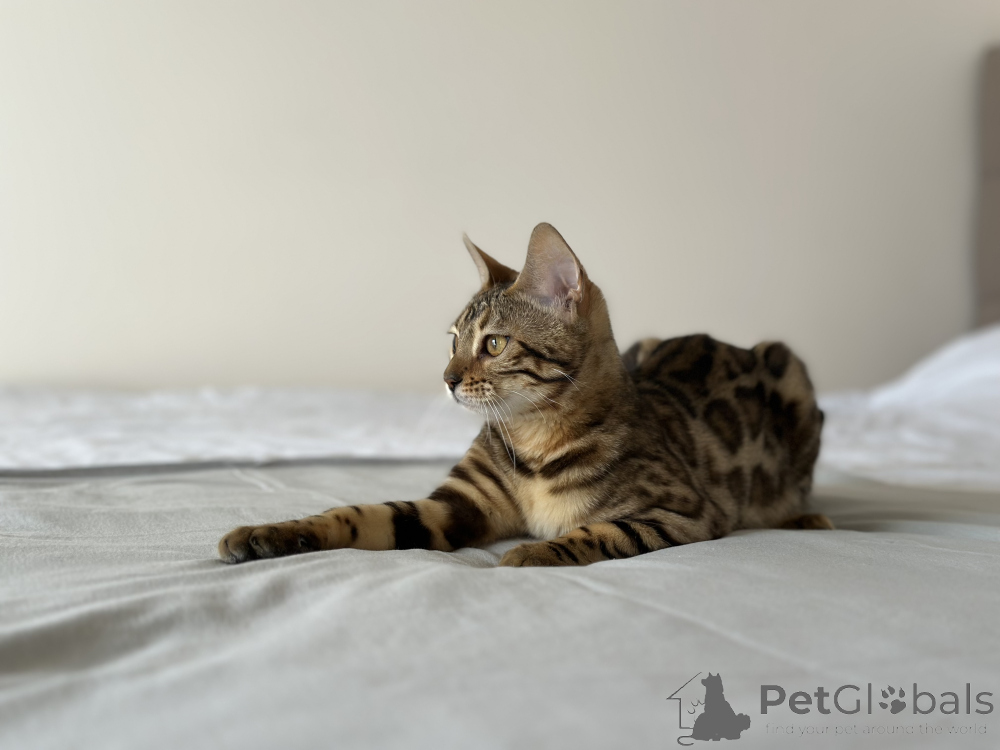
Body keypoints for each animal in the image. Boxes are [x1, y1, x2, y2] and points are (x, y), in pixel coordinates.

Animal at [219, 222, 832, 567]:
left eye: (493, 343)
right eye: (452, 341)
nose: (446, 379)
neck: (536, 441)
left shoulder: (682, 510)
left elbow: (601, 531)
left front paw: (529, 551)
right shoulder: (454, 506)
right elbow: (357, 514)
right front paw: (270, 532)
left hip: (792, 373)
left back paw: (806, 518)